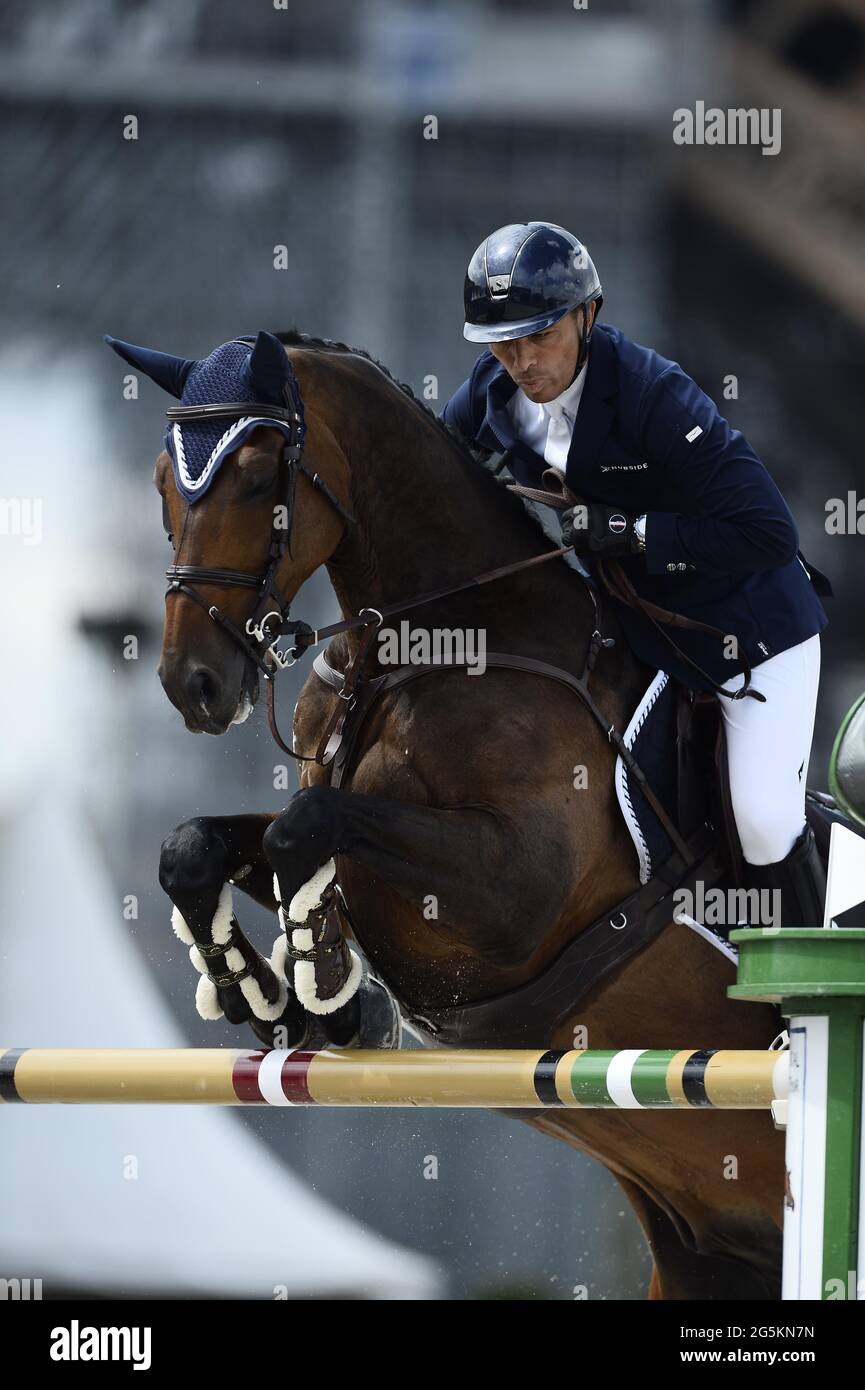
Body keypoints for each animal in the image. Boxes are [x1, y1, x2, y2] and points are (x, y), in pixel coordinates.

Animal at [111, 328, 789, 1301]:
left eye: (257, 473)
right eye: (164, 481)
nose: (192, 684)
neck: (434, 649)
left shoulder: (513, 894)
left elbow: (305, 826)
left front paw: (322, 980)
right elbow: (199, 846)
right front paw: (264, 994)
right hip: (711, 1251)